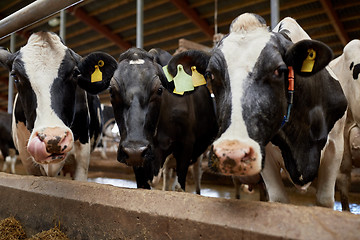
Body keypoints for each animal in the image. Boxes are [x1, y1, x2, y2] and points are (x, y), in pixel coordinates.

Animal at [76, 47, 218, 190]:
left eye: (160, 89)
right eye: (111, 91)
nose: (134, 150)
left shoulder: (185, 147)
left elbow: (179, 187)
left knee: (197, 174)